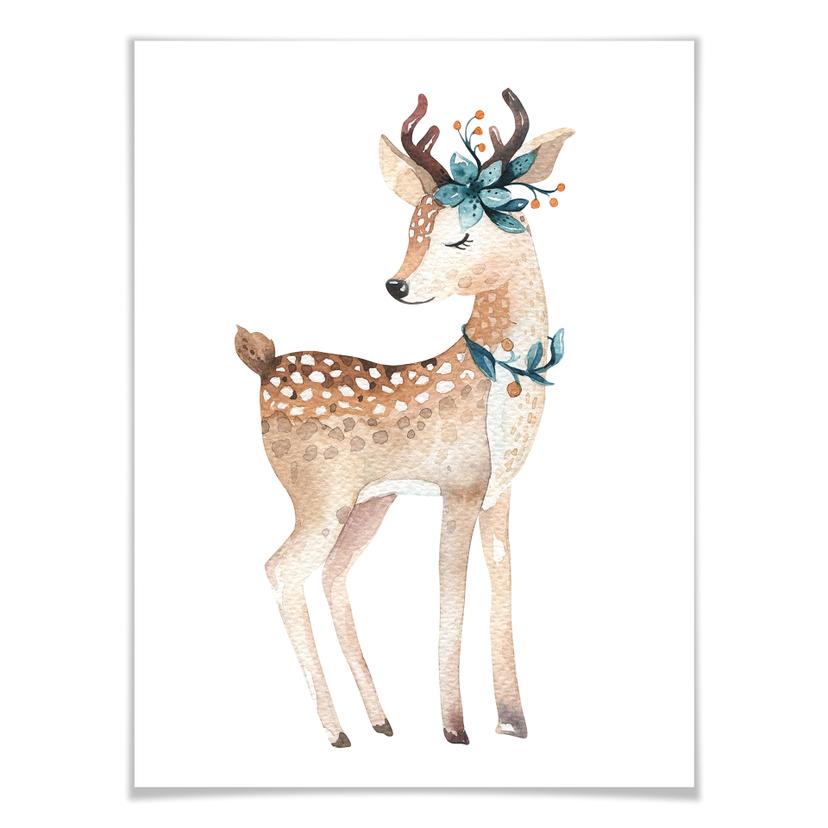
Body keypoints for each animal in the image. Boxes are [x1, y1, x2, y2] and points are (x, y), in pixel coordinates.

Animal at [236, 89, 573, 748]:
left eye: (460, 239)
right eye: (412, 228)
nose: (396, 285)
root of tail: (261, 363)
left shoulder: (498, 493)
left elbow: (503, 579)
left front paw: (513, 721)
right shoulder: (460, 484)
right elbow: (451, 590)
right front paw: (455, 727)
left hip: (370, 502)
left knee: (333, 574)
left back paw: (380, 720)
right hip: (320, 494)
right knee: (281, 569)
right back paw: (337, 731)